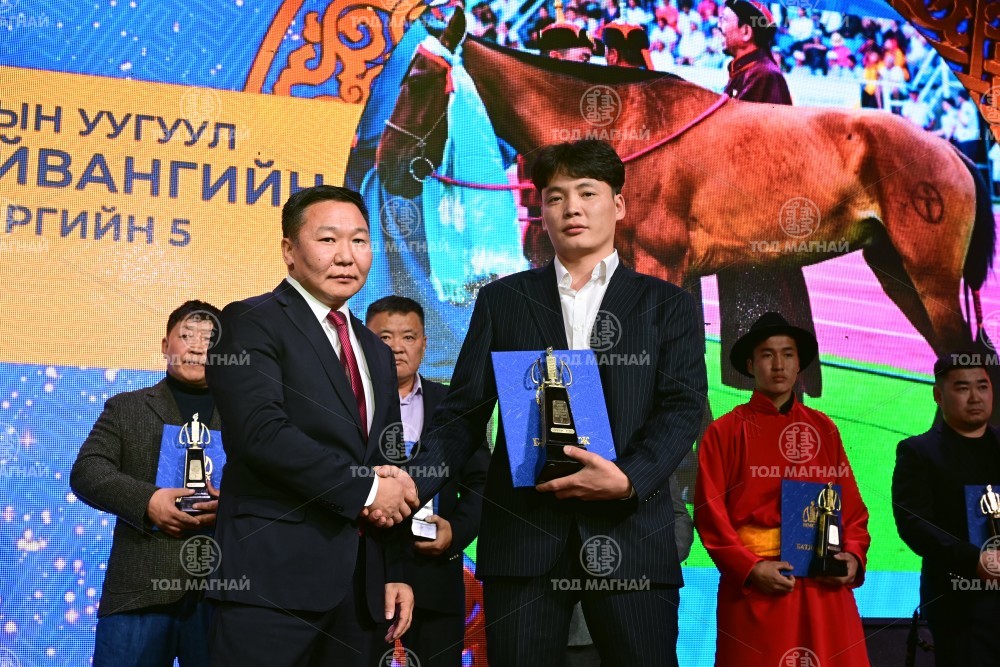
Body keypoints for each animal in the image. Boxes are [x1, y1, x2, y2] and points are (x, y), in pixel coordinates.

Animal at [376, 10, 995, 377]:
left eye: (418, 79)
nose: (387, 164)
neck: (624, 128)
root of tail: (954, 153)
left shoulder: (663, 266)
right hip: (895, 269)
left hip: (931, 280)